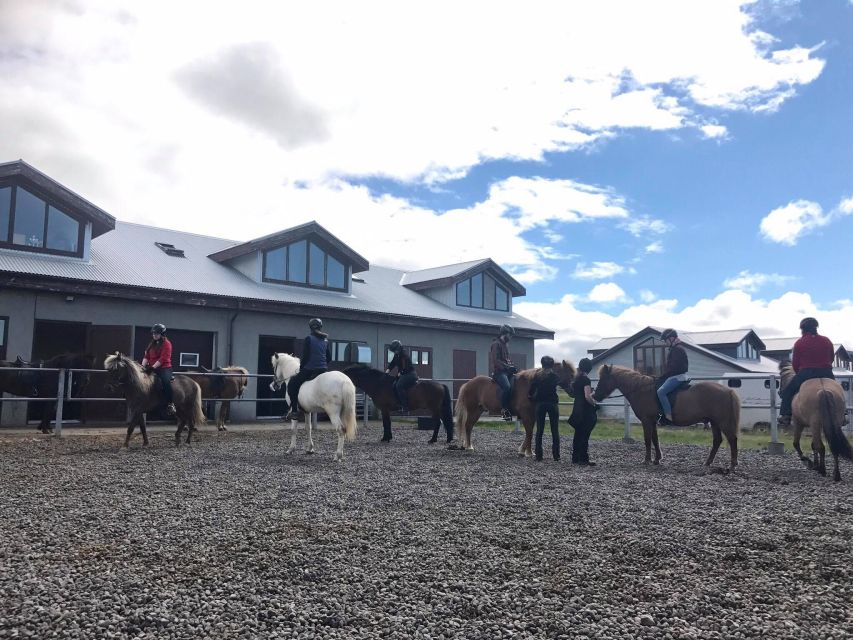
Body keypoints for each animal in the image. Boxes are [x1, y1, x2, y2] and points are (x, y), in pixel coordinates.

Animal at [592, 368, 740, 468]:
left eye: (603, 379)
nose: (595, 396)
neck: (642, 390)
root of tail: (728, 390)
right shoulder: (652, 422)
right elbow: (655, 440)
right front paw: (657, 459)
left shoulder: (646, 421)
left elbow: (647, 440)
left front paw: (646, 460)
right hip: (714, 422)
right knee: (717, 441)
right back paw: (708, 462)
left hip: (722, 422)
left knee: (732, 439)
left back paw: (732, 465)